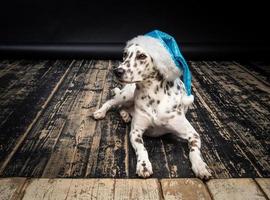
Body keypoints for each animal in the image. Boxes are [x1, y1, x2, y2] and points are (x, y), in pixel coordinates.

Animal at [94, 34, 212, 180]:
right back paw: (101, 112)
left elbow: (194, 150)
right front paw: (144, 165)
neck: (153, 96)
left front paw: (200, 166)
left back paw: (125, 115)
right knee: (111, 102)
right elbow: (142, 149)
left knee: (122, 107)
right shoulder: (135, 132)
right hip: (126, 95)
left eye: (141, 56)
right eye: (125, 54)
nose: (117, 71)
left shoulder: (193, 134)